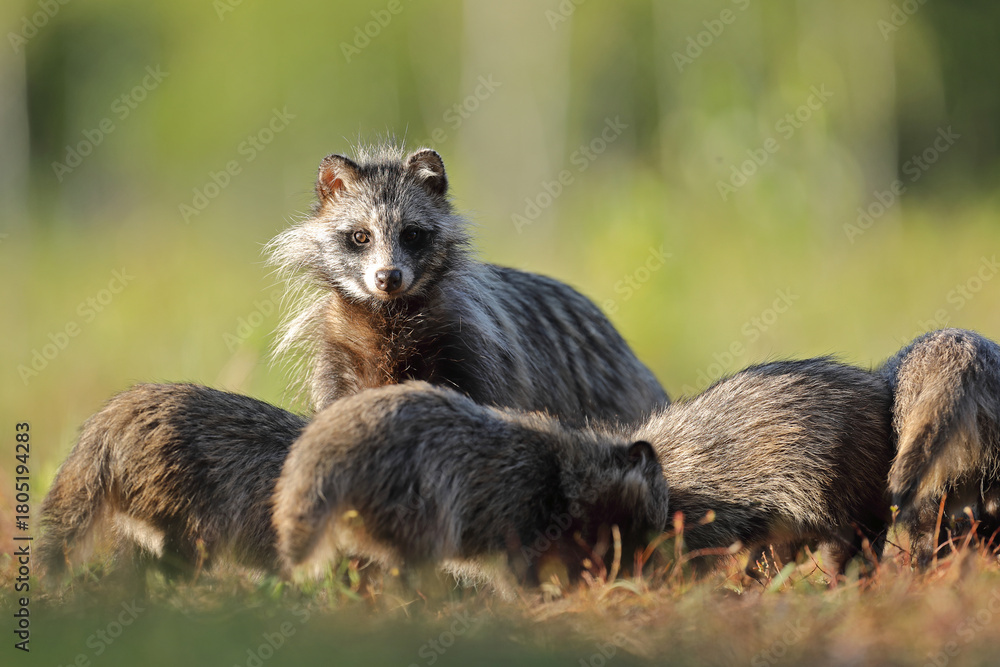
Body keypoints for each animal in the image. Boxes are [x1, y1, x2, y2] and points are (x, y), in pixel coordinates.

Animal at [266, 144, 667, 425]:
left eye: (412, 234)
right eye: (360, 236)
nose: (388, 277)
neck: (390, 315)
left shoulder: (471, 344)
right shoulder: (338, 351)